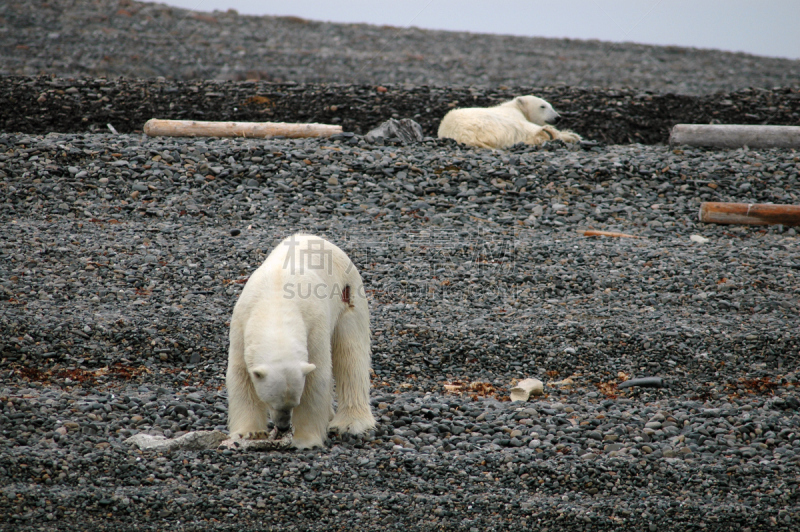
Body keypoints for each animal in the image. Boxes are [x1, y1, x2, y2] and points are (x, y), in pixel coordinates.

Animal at [225, 234, 376, 448]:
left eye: (293, 403)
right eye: (272, 401)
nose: (283, 426)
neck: (276, 306)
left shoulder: (314, 324)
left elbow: (316, 379)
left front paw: (305, 440)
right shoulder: (241, 324)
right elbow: (240, 377)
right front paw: (248, 432)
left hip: (348, 296)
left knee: (351, 354)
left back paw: (350, 423)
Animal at [438, 94, 580, 150]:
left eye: (551, 106)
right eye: (543, 106)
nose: (558, 117)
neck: (515, 107)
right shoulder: (513, 116)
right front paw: (570, 135)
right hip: (493, 124)